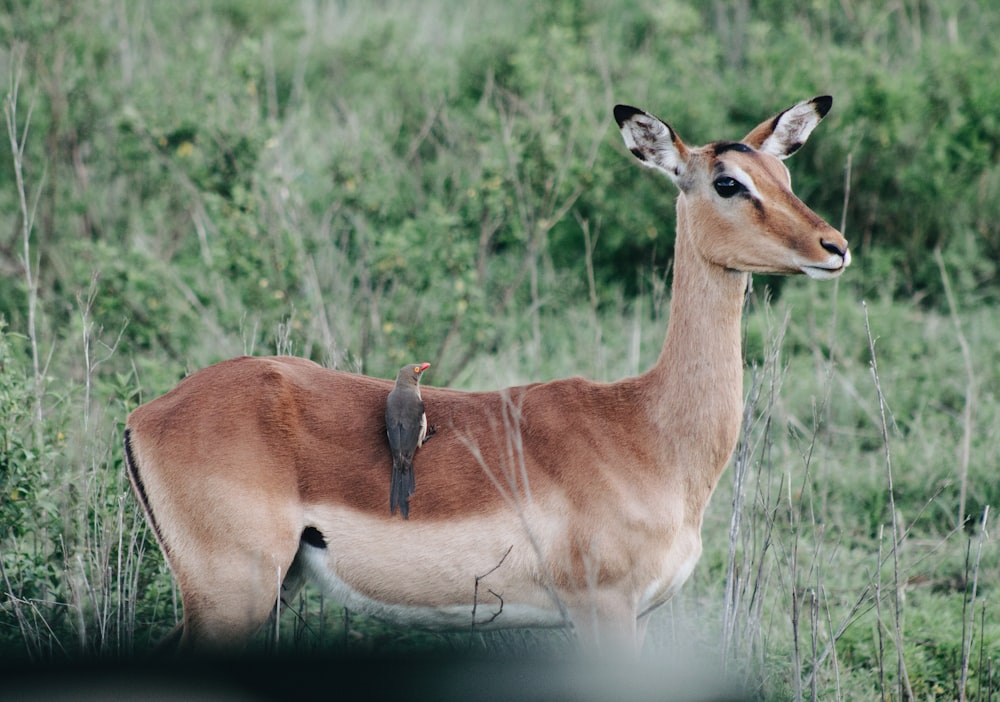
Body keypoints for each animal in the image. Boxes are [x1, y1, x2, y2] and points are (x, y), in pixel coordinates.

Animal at [121, 96, 848, 656]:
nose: (834, 247)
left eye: (783, 172)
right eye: (728, 182)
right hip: (232, 595)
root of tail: (144, 415)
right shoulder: (605, 610)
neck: (647, 427)